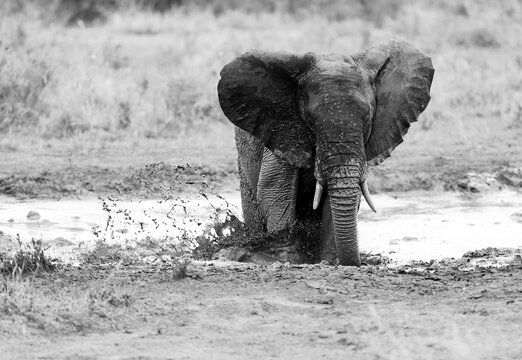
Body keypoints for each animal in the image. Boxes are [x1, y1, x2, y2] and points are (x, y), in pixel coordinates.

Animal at [214, 38, 430, 266]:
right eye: (310, 120)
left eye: (367, 119)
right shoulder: (282, 131)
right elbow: (274, 189)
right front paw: (287, 258)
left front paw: (330, 261)